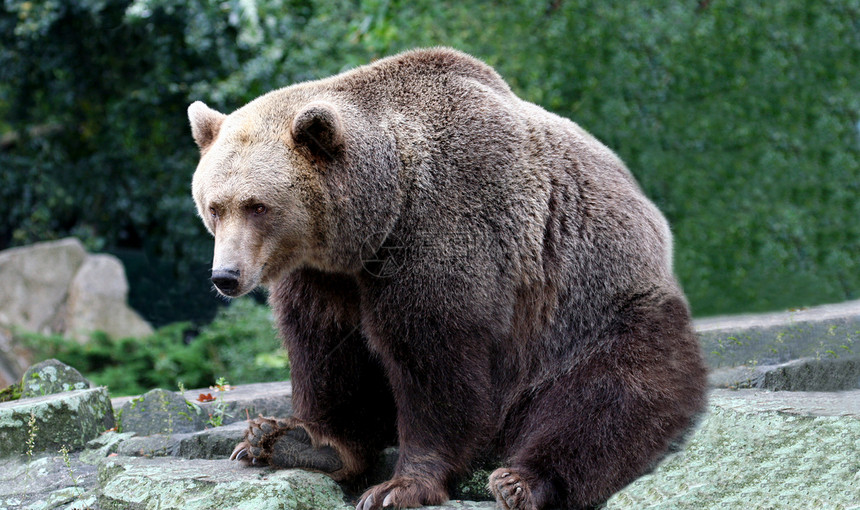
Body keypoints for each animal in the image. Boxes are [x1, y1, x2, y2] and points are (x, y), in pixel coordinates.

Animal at [188, 48, 704, 510]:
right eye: (215, 206)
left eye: (258, 206)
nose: (226, 276)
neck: (376, 221)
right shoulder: (324, 275)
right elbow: (326, 346)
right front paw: (301, 440)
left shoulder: (444, 231)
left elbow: (435, 362)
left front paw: (399, 486)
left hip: (594, 312)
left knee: (608, 396)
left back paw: (521, 480)